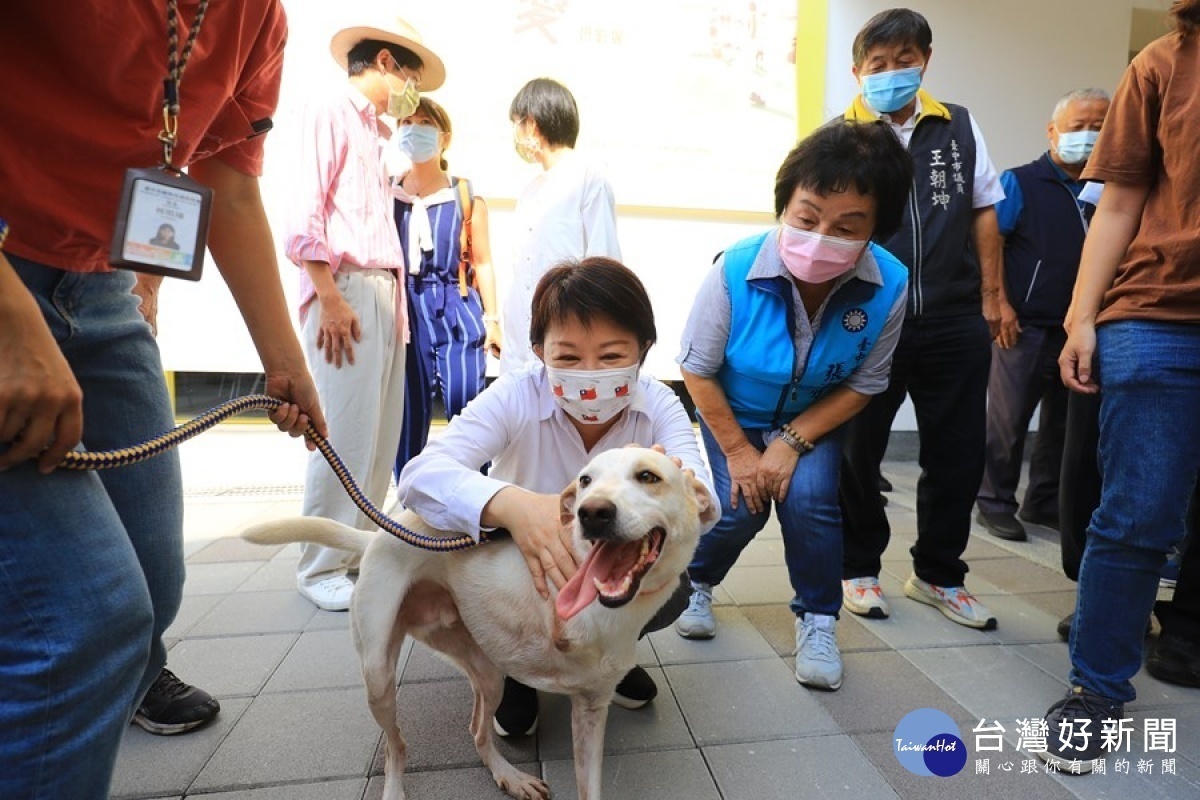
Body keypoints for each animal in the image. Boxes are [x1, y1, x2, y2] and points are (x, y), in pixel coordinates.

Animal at [241, 448, 710, 796]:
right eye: (585, 481)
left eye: (648, 476)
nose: (591, 513)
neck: (607, 611)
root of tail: (379, 534)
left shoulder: (592, 709)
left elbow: (589, 785)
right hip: (378, 675)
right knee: (396, 749)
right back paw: (396, 788)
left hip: (487, 672)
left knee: (476, 731)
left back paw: (510, 777)